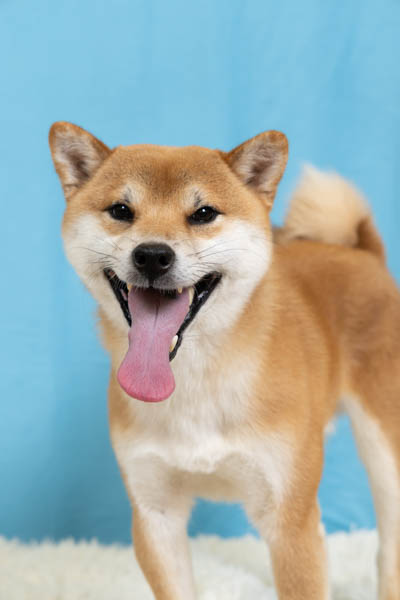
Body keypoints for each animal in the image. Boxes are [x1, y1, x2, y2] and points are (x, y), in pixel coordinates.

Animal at [49, 122, 400, 600]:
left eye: (203, 213)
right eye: (121, 210)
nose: (152, 255)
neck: (194, 378)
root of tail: (362, 253)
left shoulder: (289, 521)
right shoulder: (155, 514)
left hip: (384, 449)